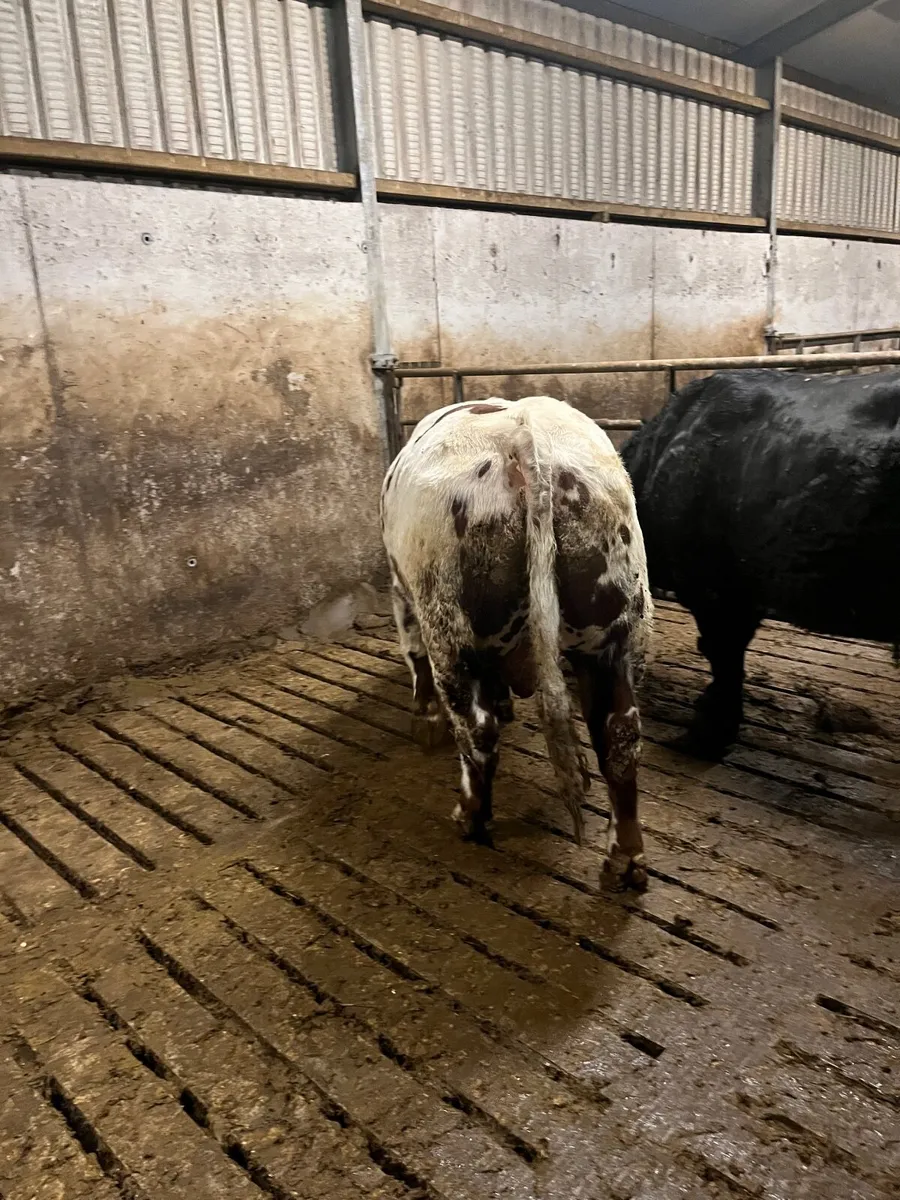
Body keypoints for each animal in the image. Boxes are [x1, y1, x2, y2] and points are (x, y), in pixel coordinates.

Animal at [380, 395, 653, 891]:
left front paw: (425, 720)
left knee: (476, 728)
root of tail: (527, 436)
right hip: (612, 631)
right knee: (620, 735)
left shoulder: (399, 591)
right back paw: (624, 859)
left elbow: (413, 657)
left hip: (448, 624)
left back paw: (469, 815)